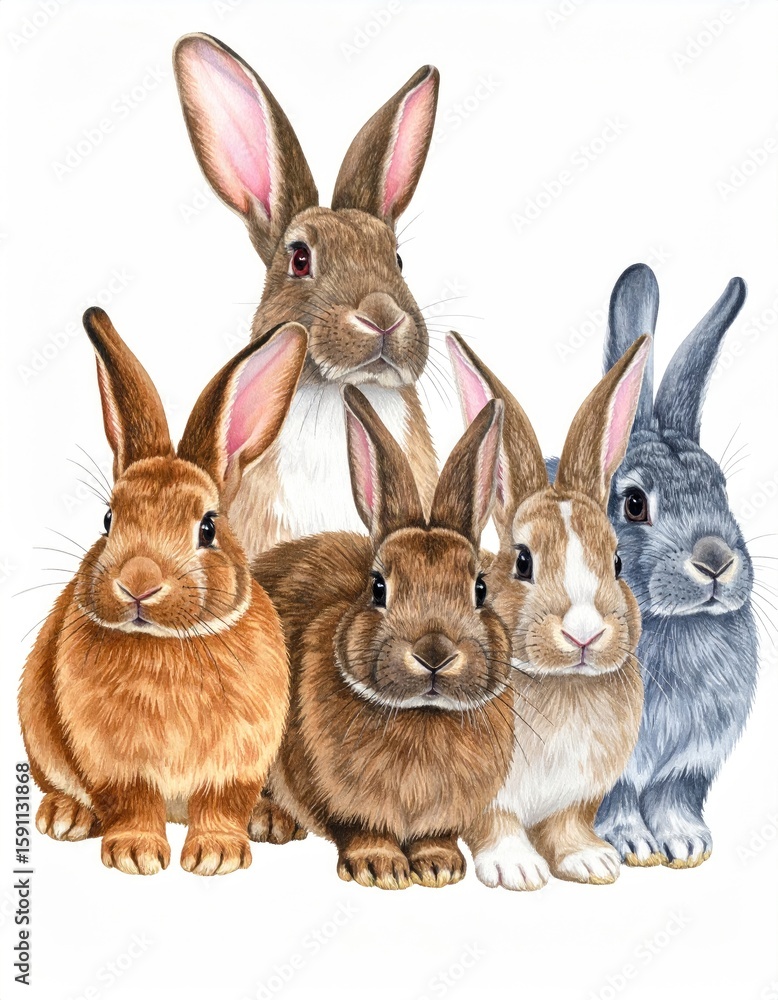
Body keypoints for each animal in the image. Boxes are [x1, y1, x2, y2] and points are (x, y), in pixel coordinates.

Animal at [18, 308, 307, 876]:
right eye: (109, 520)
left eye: (208, 528)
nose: (138, 583)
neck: (169, 645)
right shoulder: (113, 762)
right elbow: (130, 800)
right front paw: (135, 853)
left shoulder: (238, 761)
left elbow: (222, 803)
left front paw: (216, 855)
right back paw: (64, 816)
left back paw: (272, 822)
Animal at [249, 385, 517, 890]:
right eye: (378, 587)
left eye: (480, 589)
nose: (434, 653)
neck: (422, 714)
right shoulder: (329, 792)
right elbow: (358, 829)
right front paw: (380, 867)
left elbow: (437, 836)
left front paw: (438, 865)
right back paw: (269, 820)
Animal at [447, 331, 651, 890]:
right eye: (523, 561)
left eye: (618, 562)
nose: (584, 633)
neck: (564, 685)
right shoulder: (485, 794)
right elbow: (496, 823)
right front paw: (516, 869)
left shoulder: (578, 797)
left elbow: (567, 826)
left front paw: (592, 862)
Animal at [591, 264, 758, 869]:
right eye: (635, 503)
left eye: (721, 487)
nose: (715, 562)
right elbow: (613, 797)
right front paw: (633, 844)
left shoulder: (692, 760)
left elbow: (672, 795)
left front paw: (686, 845)